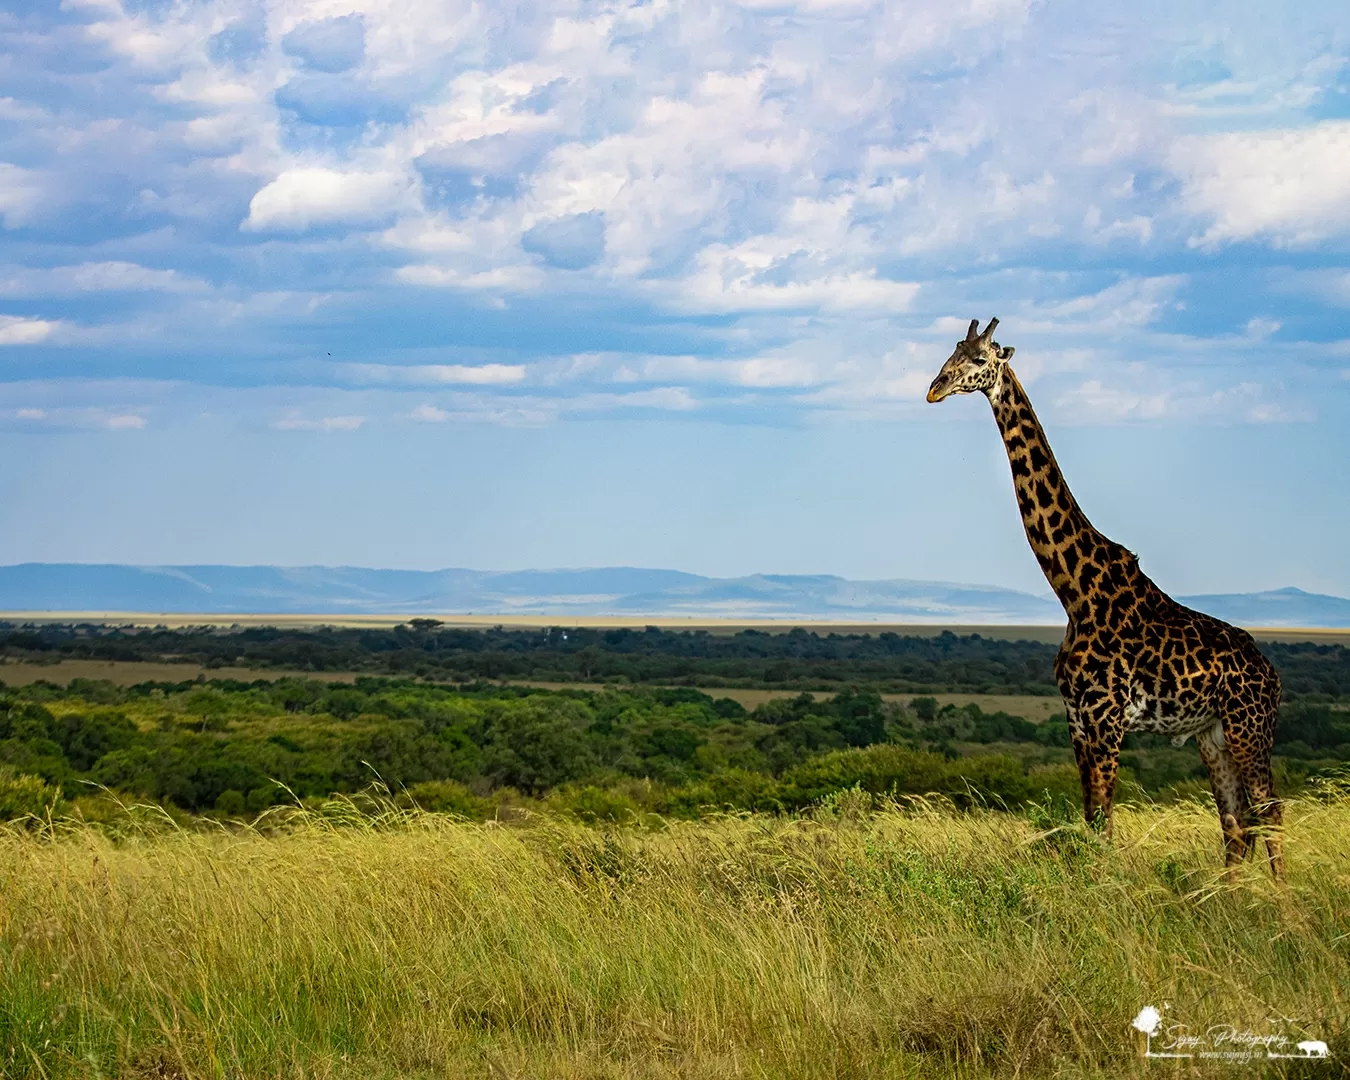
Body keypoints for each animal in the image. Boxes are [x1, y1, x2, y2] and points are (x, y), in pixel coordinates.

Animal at [928, 318, 1285, 874]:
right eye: (951, 352)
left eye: (979, 359)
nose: (934, 388)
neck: (1074, 591)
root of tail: (1273, 677)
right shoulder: (1077, 720)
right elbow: (1091, 820)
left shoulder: (1107, 718)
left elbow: (1104, 824)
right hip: (1214, 735)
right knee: (1236, 822)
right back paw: (1234, 893)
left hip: (1250, 729)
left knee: (1271, 813)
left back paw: (1278, 896)